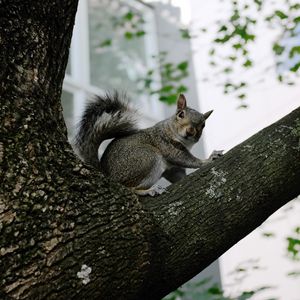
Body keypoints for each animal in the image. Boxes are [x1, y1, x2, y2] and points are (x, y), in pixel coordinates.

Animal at [73, 94, 223, 197]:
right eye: (181, 114)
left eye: (203, 125)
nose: (190, 131)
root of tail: (108, 175)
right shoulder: (165, 143)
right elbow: (187, 159)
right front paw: (208, 159)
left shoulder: (172, 169)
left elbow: (177, 174)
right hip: (147, 158)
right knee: (129, 188)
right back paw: (149, 190)